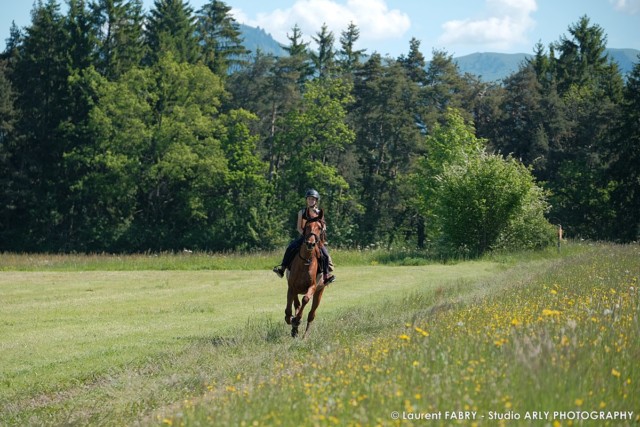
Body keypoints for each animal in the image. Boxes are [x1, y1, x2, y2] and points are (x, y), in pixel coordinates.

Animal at [286, 209, 328, 340]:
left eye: (320, 227)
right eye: (307, 226)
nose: (310, 243)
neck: (306, 260)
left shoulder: (313, 287)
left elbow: (305, 299)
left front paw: (297, 319)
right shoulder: (292, 286)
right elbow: (290, 306)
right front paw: (290, 319)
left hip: (320, 292)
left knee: (311, 314)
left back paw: (304, 335)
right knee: (297, 304)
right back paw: (294, 329)